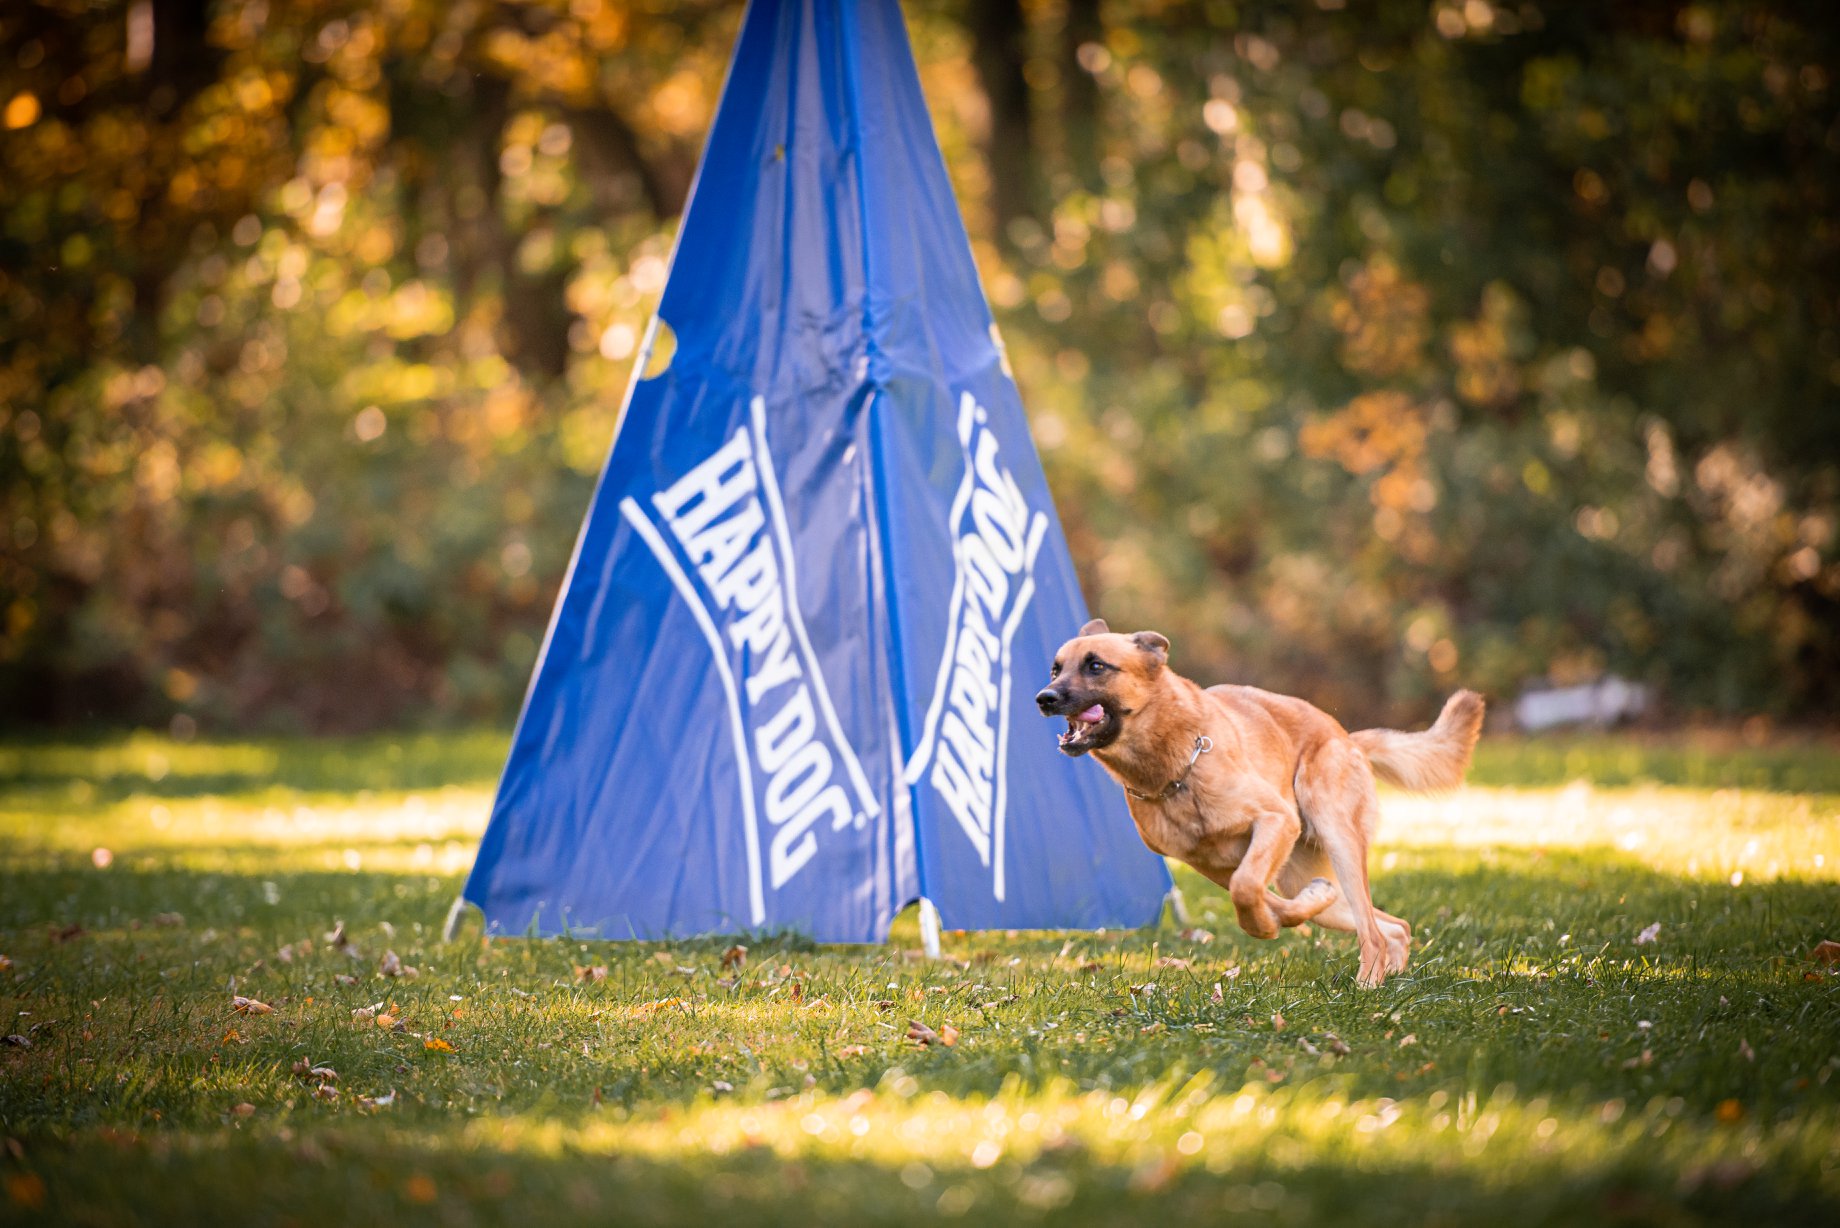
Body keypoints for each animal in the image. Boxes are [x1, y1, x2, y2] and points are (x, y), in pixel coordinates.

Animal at [1037, 618, 1479, 986]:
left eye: (1096, 666)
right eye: (1056, 669)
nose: (1044, 698)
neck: (1175, 770)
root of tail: (1346, 736)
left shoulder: (1274, 821)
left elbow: (1247, 889)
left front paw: (1265, 927)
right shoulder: (1211, 864)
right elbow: (1260, 897)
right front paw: (1280, 918)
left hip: (1337, 837)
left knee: (1372, 932)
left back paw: (1367, 985)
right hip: (1299, 875)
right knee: (1392, 926)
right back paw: (1388, 971)